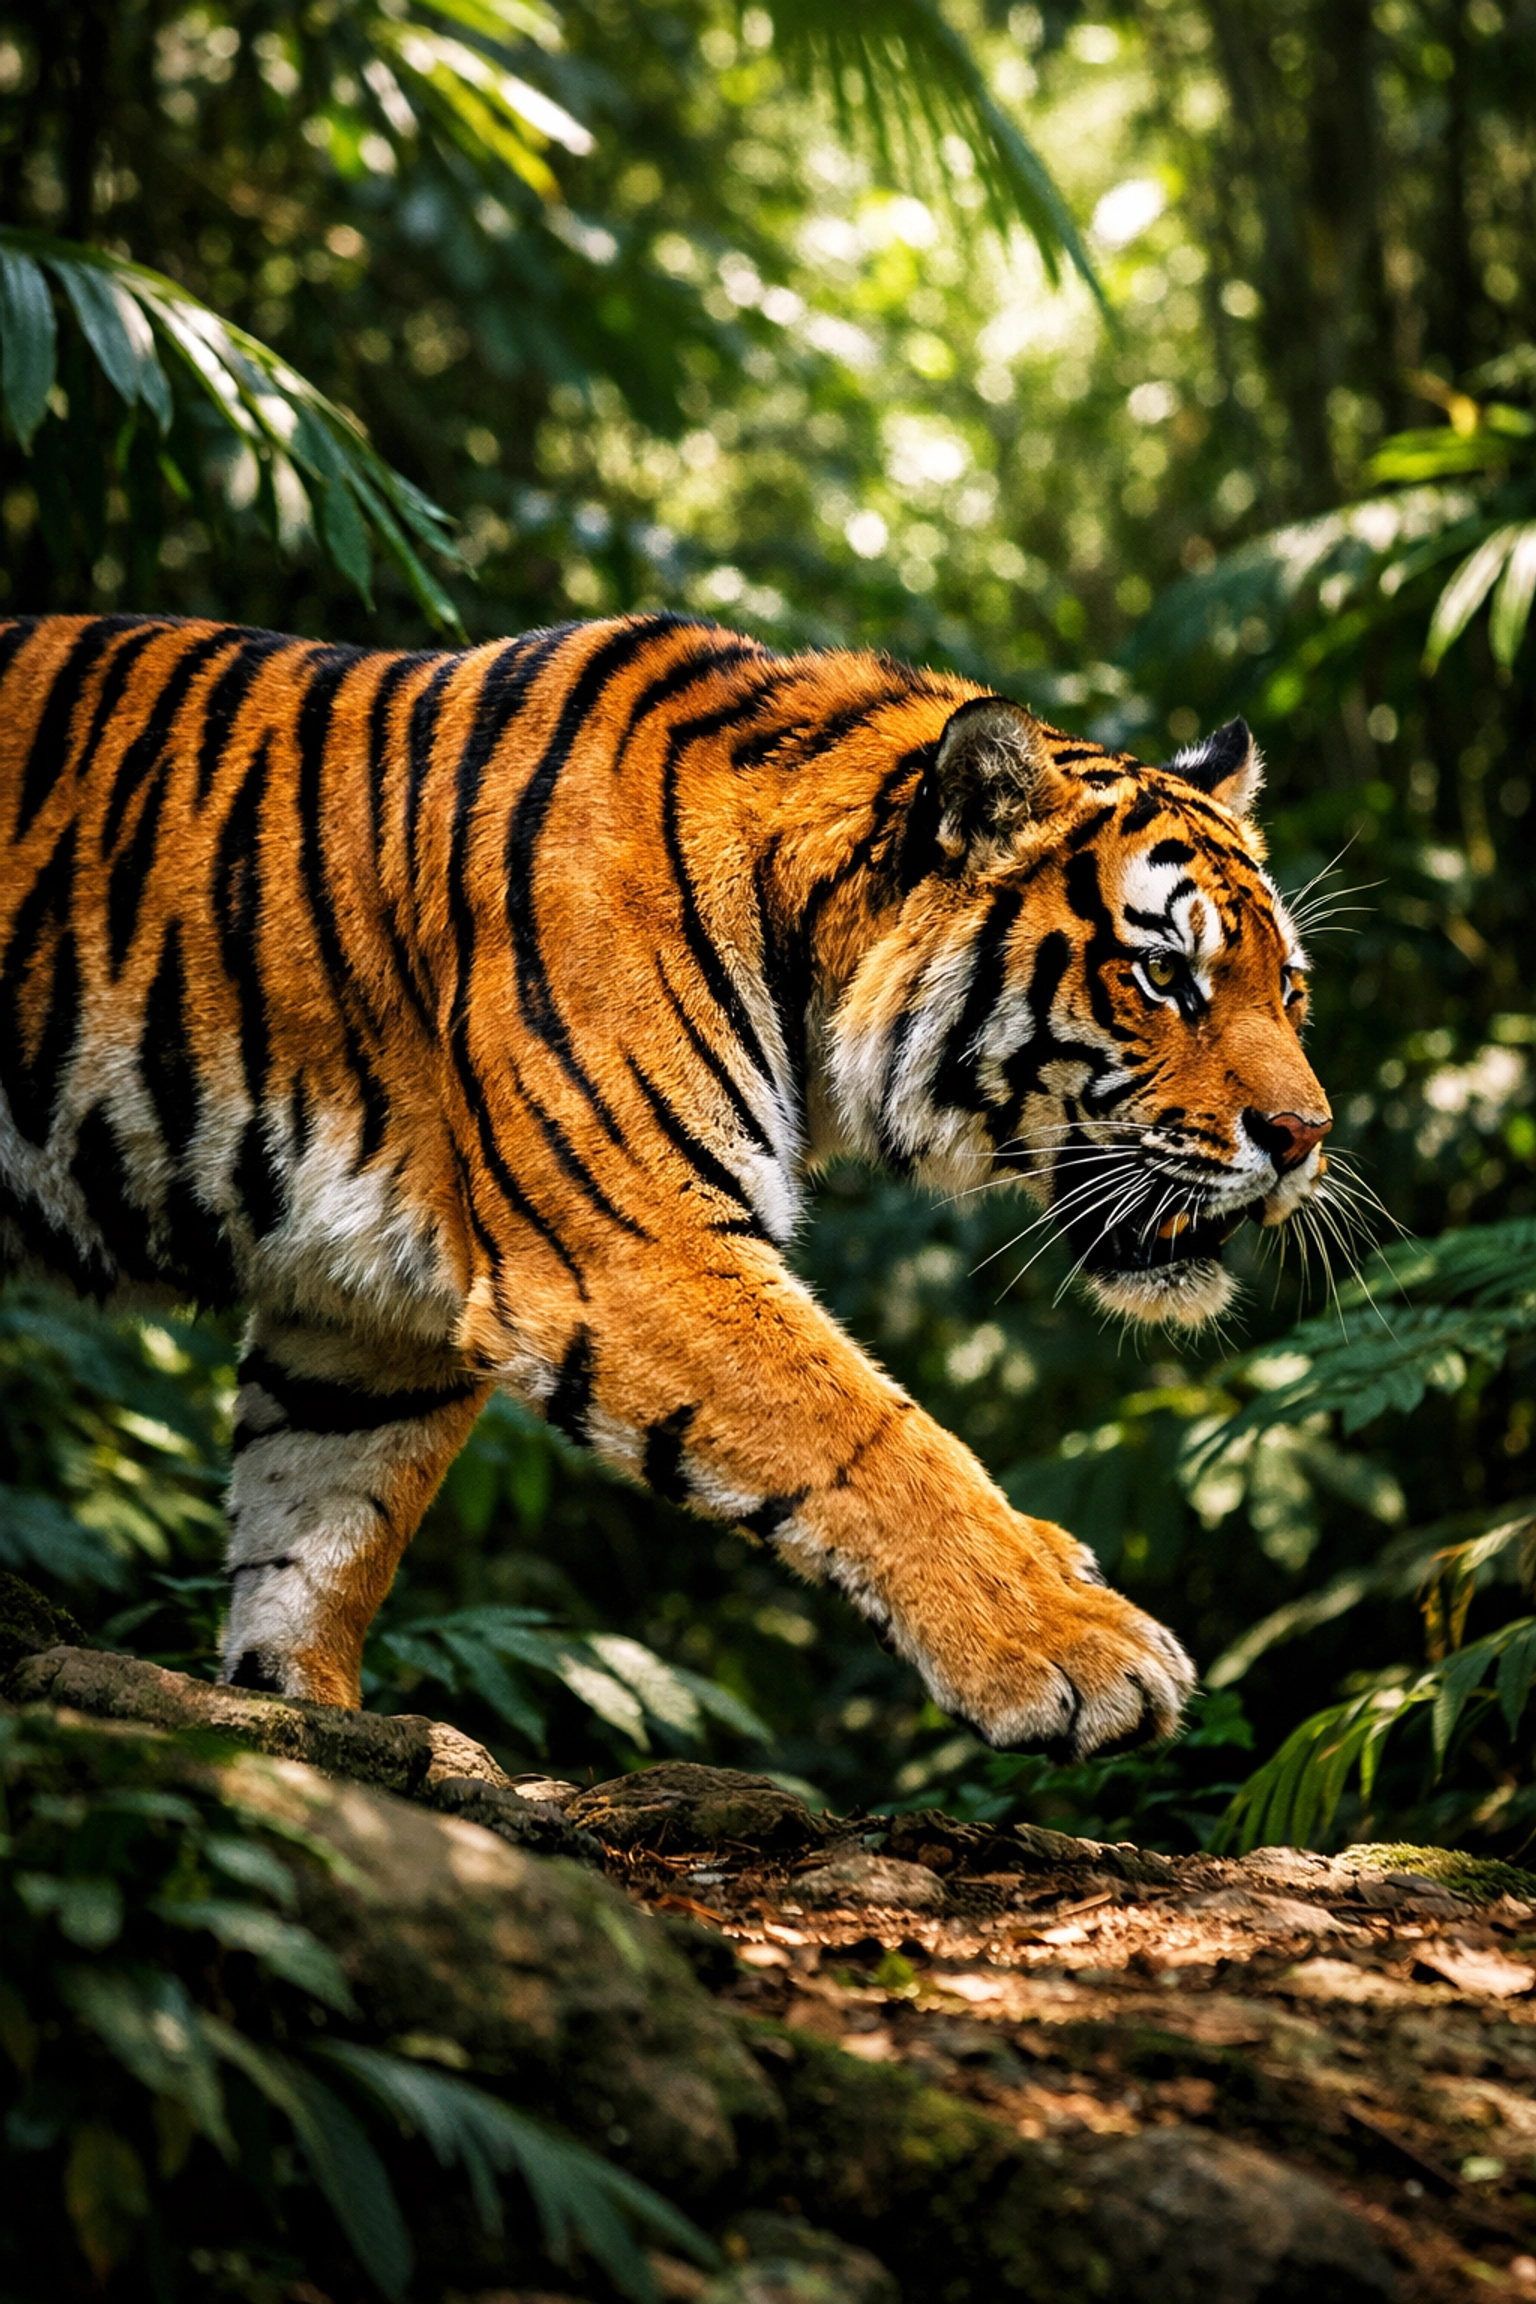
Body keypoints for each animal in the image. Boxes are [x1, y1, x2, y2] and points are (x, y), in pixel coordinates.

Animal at [0, 611, 1331, 1756]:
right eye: (1163, 976)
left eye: (1289, 989)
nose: (1306, 1136)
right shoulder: (632, 1246)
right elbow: (872, 1431)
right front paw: (1074, 1648)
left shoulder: (361, 1308)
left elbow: (320, 1533)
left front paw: (302, 1725)